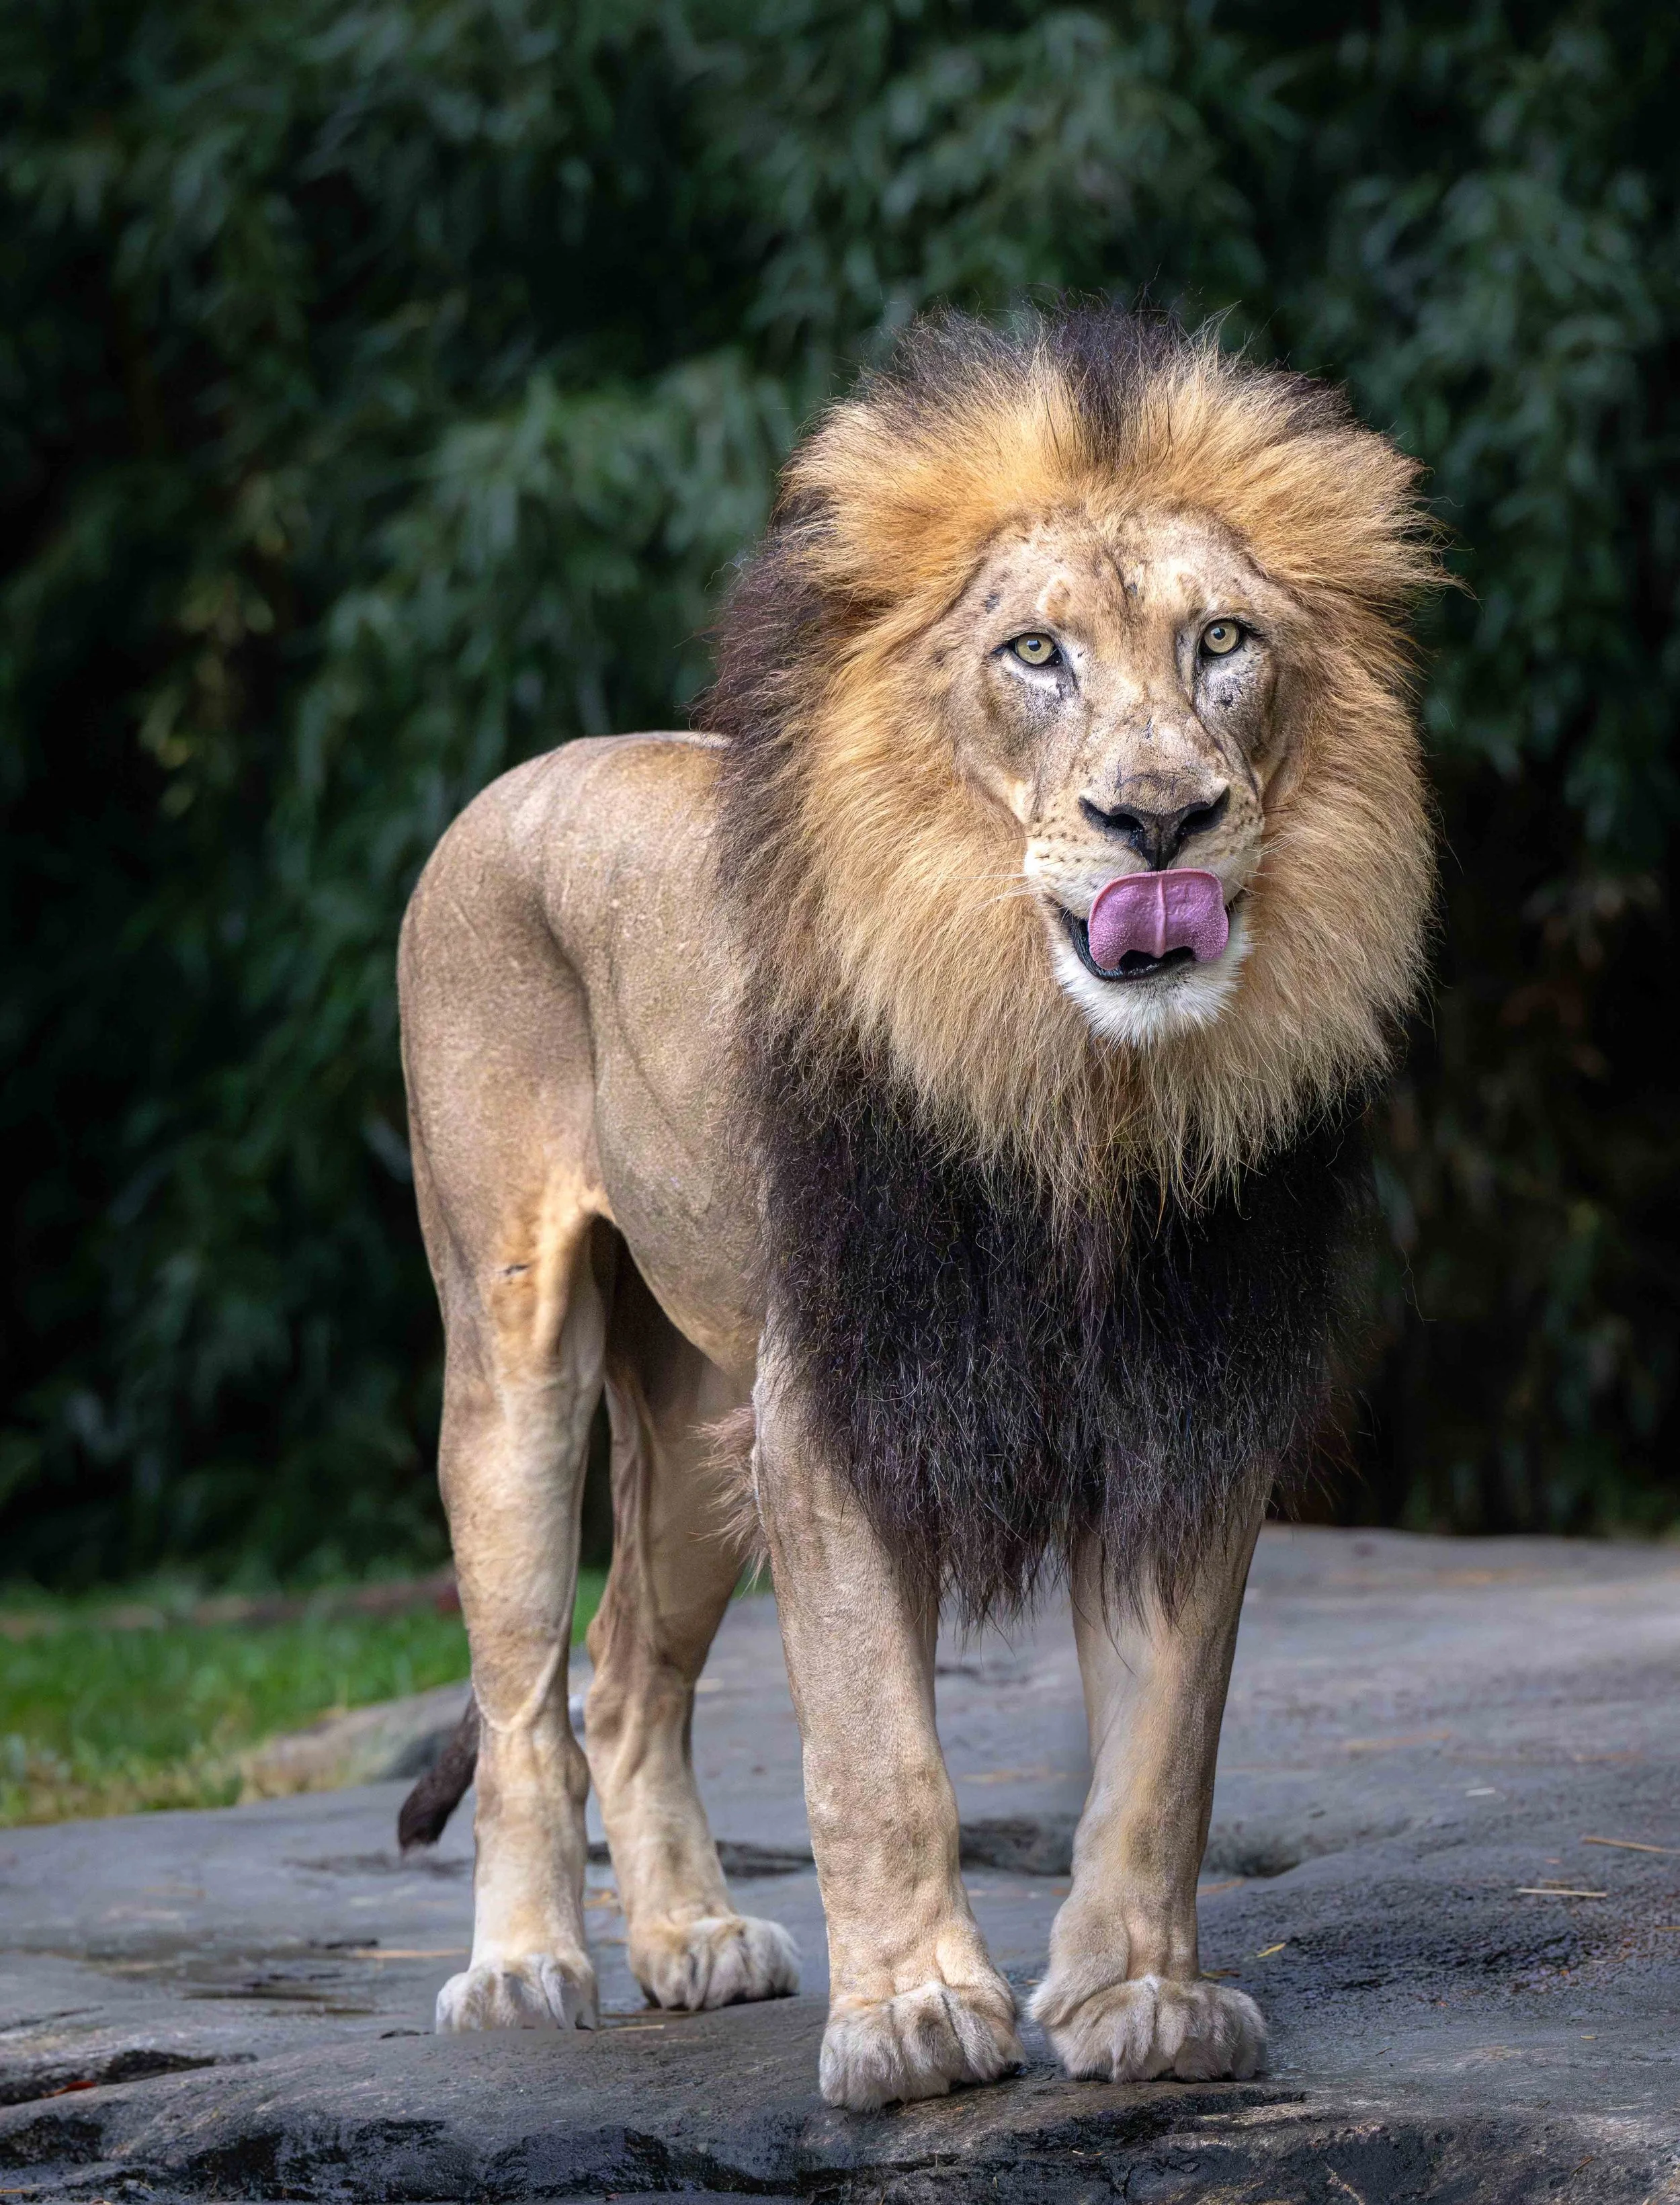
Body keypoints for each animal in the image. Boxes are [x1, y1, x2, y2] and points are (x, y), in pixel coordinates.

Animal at [395, 306, 1437, 2109]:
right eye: (1033, 656)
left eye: (1223, 639)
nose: (1157, 820)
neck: (1080, 1094)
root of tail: (517, 778)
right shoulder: (838, 1405)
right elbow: (879, 1753)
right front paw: (916, 2020)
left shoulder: (1183, 1399)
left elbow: (1161, 1754)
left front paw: (1139, 1998)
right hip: (517, 1337)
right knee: (524, 1684)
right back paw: (526, 1967)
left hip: (700, 1419)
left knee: (627, 1671)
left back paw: (691, 1941)